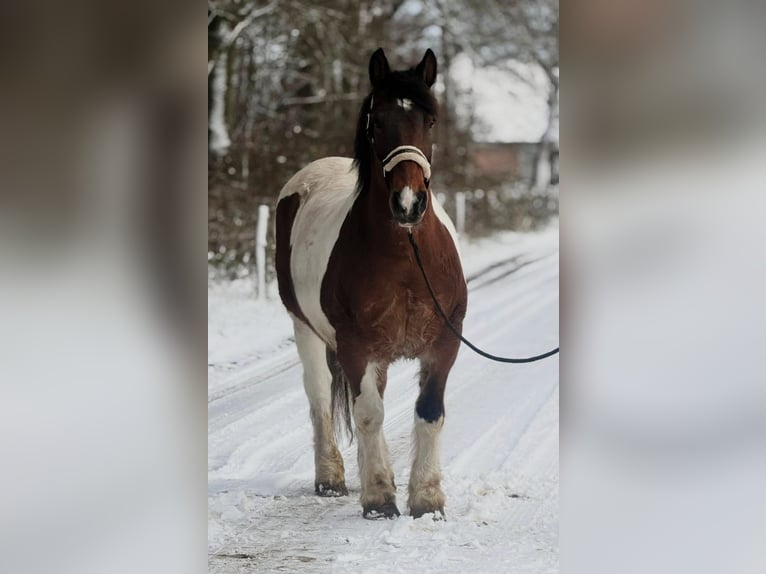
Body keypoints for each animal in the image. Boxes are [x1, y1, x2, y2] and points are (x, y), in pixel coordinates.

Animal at [275, 48, 467, 519]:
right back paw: (331, 477)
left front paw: (426, 499)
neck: (406, 257)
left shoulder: (444, 344)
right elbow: (368, 415)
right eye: (377, 121)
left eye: (430, 120)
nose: (408, 202)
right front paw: (379, 498)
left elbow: (429, 413)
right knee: (322, 400)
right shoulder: (356, 347)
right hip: (306, 330)